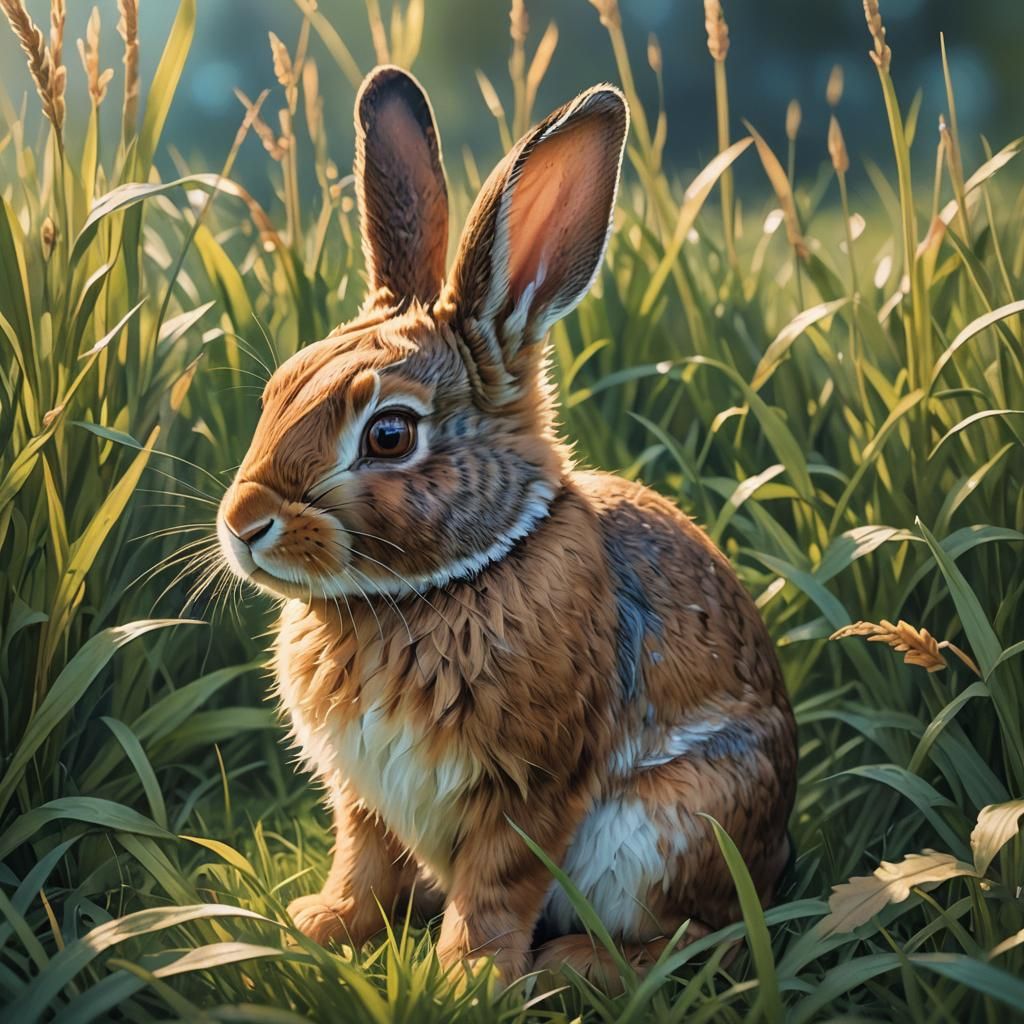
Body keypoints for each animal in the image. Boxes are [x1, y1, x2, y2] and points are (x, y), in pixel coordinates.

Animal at [217, 64, 797, 985]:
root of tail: (779, 858)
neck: (432, 591)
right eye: (279, 390)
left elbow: (496, 888)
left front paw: (463, 980)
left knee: (702, 937)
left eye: (389, 435)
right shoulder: (364, 795)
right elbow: (364, 862)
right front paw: (321, 926)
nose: (243, 524)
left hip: (667, 827)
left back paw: (568, 966)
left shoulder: (528, 787)